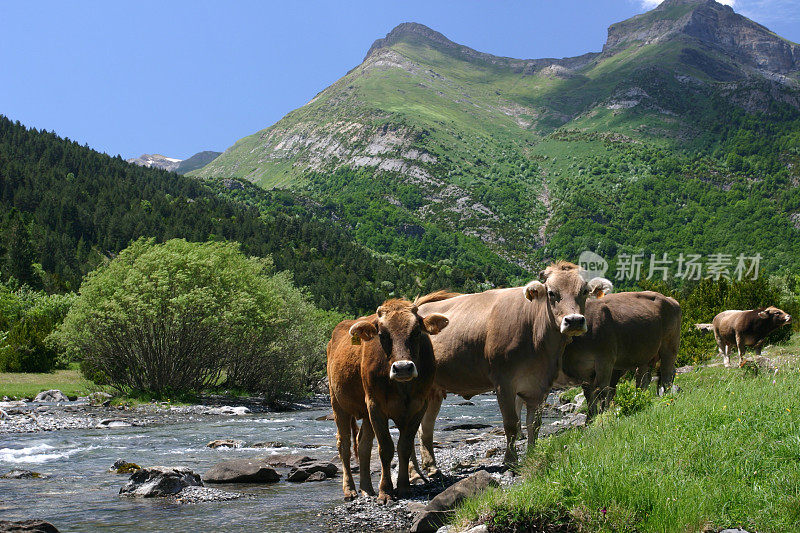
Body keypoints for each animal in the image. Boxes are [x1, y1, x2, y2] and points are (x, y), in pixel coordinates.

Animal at [324, 294, 450, 500]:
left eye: (416, 332)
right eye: (382, 334)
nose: (403, 368)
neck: (403, 387)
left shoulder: (418, 405)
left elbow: (404, 446)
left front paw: (404, 487)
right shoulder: (376, 405)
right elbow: (386, 448)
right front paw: (386, 491)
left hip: (365, 412)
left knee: (363, 444)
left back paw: (367, 488)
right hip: (338, 403)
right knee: (344, 444)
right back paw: (350, 489)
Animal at [416, 260, 608, 468]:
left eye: (584, 291)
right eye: (551, 293)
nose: (574, 321)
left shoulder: (541, 386)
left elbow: (534, 423)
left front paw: (532, 453)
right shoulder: (504, 382)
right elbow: (511, 423)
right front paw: (510, 460)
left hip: (434, 389)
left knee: (425, 428)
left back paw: (430, 467)